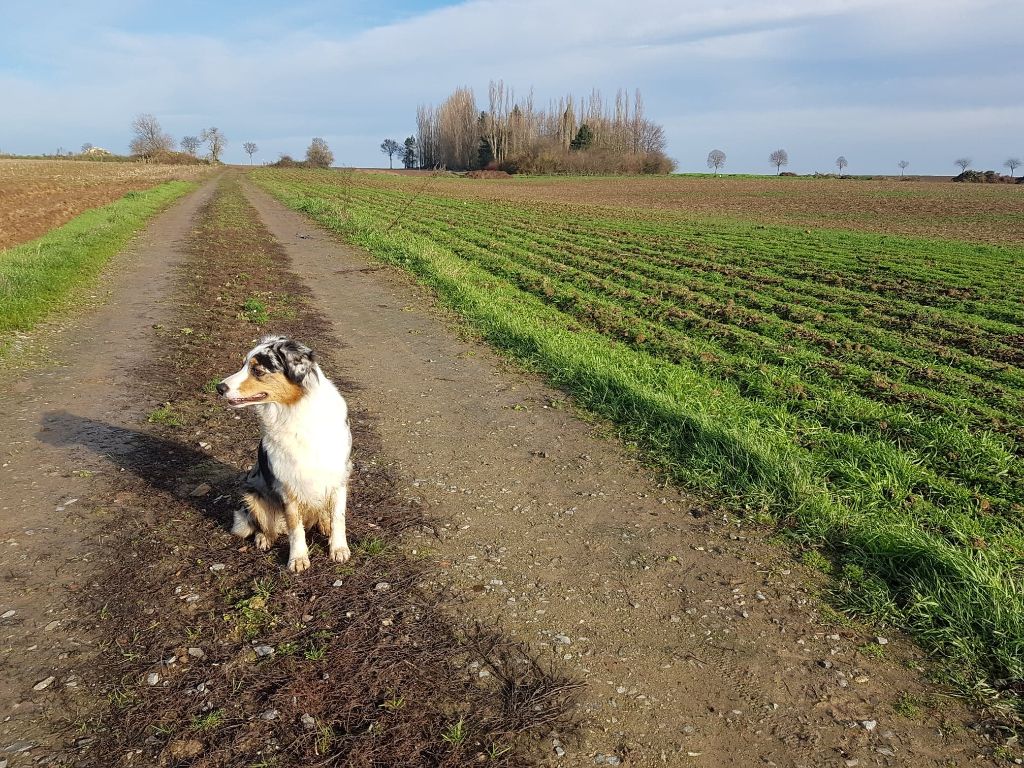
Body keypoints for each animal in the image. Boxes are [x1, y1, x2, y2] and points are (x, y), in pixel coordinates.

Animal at [216, 333, 352, 573]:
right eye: (242, 365)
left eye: (257, 370)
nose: (219, 387)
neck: (295, 411)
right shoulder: (288, 484)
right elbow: (295, 528)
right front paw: (298, 558)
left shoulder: (338, 476)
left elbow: (338, 517)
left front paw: (338, 549)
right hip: (252, 493)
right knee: (266, 526)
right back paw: (264, 538)